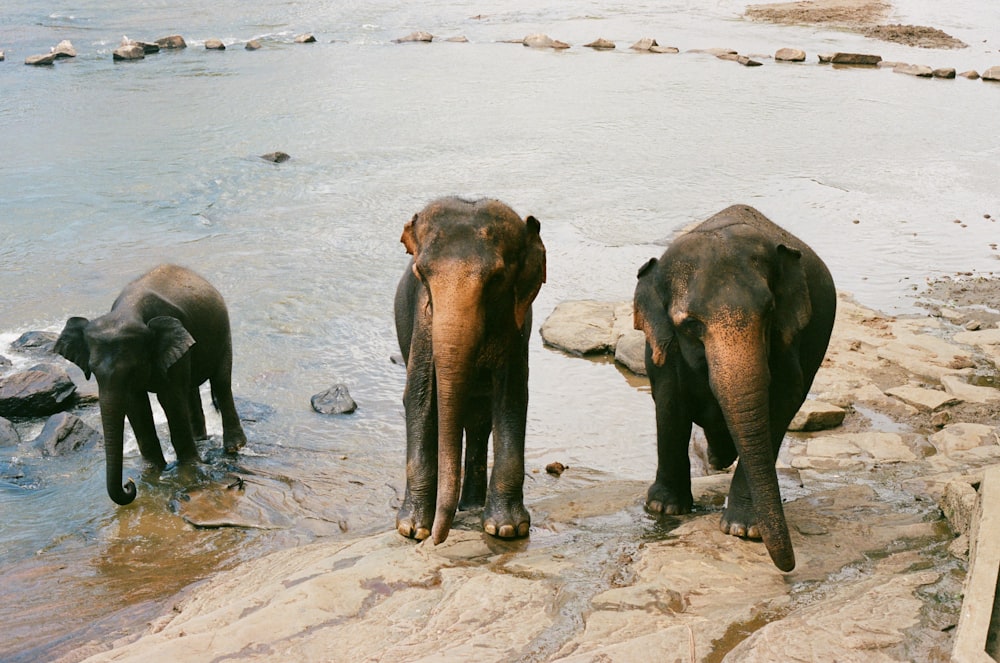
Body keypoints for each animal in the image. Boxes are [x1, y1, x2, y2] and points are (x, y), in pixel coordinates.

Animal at [53, 264, 247, 504]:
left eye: (132, 369)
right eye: (93, 370)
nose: (128, 484)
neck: (127, 312)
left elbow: (170, 398)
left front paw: (189, 470)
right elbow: (135, 403)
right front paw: (153, 470)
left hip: (222, 332)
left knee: (220, 382)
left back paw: (234, 447)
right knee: (191, 389)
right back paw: (201, 439)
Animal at [392, 196, 548, 544]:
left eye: (497, 278)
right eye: (421, 274)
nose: (438, 539)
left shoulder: (515, 327)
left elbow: (512, 397)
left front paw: (507, 529)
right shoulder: (423, 322)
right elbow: (420, 397)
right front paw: (413, 529)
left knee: (479, 422)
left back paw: (473, 506)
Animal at [632, 205, 836, 572]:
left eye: (769, 312)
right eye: (691, 325)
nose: (789, 567)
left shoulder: (788, 342)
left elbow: (783, 400)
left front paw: (743, 529)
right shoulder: (663, 346)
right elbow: (670, 398)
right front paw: (664, 508)